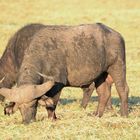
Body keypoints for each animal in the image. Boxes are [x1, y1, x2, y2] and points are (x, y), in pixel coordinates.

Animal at [0, 22, 129, 124]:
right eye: (19, 107)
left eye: (33, 104)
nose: (27, 121)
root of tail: (117, 35)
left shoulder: (57, 85)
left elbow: (52, 104)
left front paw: (52, 118)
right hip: (101, 74)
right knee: (103, 93)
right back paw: (97, 114)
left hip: (117, 67)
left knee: (123, 89)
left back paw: (123, 114)